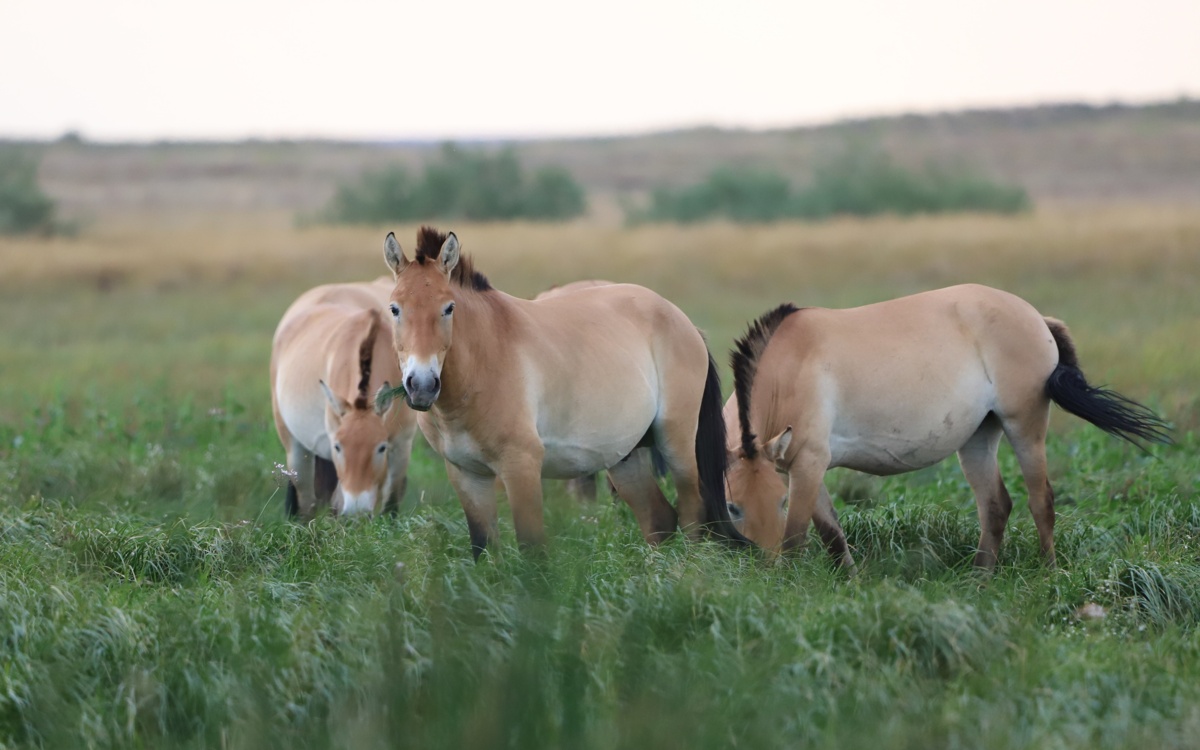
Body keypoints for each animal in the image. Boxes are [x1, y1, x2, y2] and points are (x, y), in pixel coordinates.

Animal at [271, 278, 418, 519]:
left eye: (381, 448)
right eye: (338, 447)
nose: (357, 512)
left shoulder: (401, 444)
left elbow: (391, 504)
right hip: (295, 449)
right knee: (306, 503)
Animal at [378, 227, 739, 557]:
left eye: (449, 308)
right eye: (394, 309)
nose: (422, 385)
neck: (482, 365)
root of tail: (682, 320)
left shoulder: (521, 467)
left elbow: (532, 549)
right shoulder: (467, 475)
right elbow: (483, 547)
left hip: (677, 444)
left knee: (693, 514)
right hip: (625, 456)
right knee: (659, 519)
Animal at [724, 283, 1171, 570]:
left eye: (780, 502)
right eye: (733, 507)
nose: (762, 565)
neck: (788, 368)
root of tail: (1038, 318)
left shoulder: (808, 464)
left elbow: (796, 538)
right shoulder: (801, 467)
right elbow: (832, 533)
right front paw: (851, 582)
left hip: (1025, 425)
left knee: (1040, 500)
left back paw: (1049, 573)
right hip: (978, 437)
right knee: (995, 505)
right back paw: (980, 580)